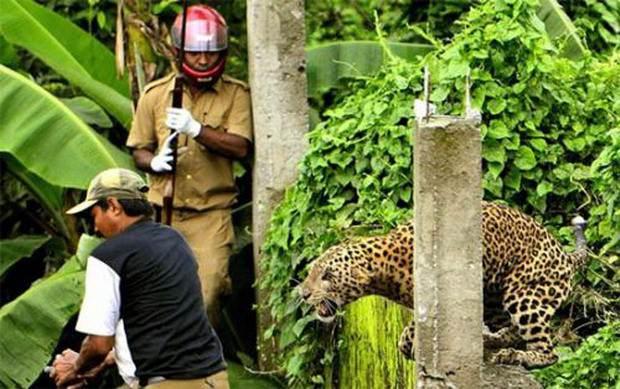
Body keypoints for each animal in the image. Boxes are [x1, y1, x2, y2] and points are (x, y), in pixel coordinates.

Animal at [300, 202, 588, 368]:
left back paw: (518, 356)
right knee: (512, 330)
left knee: (548, 352)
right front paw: (410, 345)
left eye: (328, 275)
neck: (385, 269)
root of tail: (566, 255)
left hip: (524, 295)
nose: (303, 293)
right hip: (493, 297)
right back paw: (493, 340)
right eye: (312, 270)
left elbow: (418, 326)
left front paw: (413, 344)